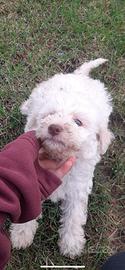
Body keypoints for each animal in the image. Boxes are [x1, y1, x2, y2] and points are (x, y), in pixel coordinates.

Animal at [10, 58, 113, 258]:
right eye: (50, 115)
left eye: (78, 122)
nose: (54, 127)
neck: (58, 156)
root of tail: (80, 76)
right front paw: (21, 234)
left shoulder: (78, 186)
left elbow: (75, 215)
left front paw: (71, 243)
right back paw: (26, 107)